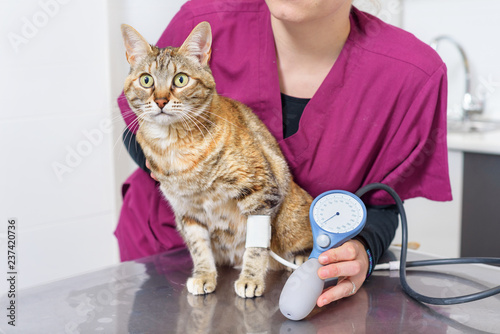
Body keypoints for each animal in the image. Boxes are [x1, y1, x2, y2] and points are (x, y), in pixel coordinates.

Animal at [120, 20, 312, 298]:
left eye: (180, 79)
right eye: (146, 80)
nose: (161, 100)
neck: (175, 146)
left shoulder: (261, 191)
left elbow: (256, 247)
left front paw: (251, 278)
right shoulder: (187, 210)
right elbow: (199, 247)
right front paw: (204, 275)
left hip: (291, 220)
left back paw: (300, 258)